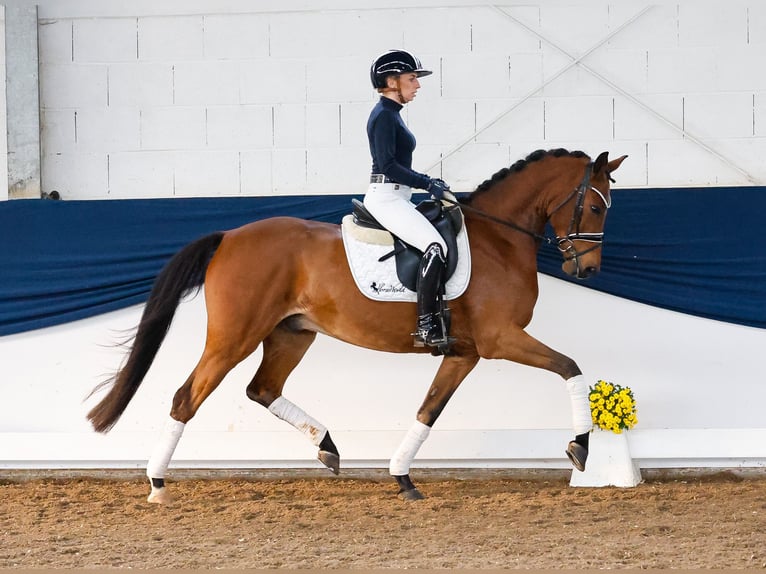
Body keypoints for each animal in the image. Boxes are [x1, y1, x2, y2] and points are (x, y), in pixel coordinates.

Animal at [88, 148, 632, 504]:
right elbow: (570, 367)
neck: (499, 240)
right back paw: (157, 484)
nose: (587, 270)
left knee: (262, 389)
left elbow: (428, 410)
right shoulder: (501, 340)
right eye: (596, 205)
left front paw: (402, 478)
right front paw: (580, 447)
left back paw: (327, 448)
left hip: (291, 334)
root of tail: (229, 236)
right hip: (233, 337)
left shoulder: (465, 352)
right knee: (188, 396)